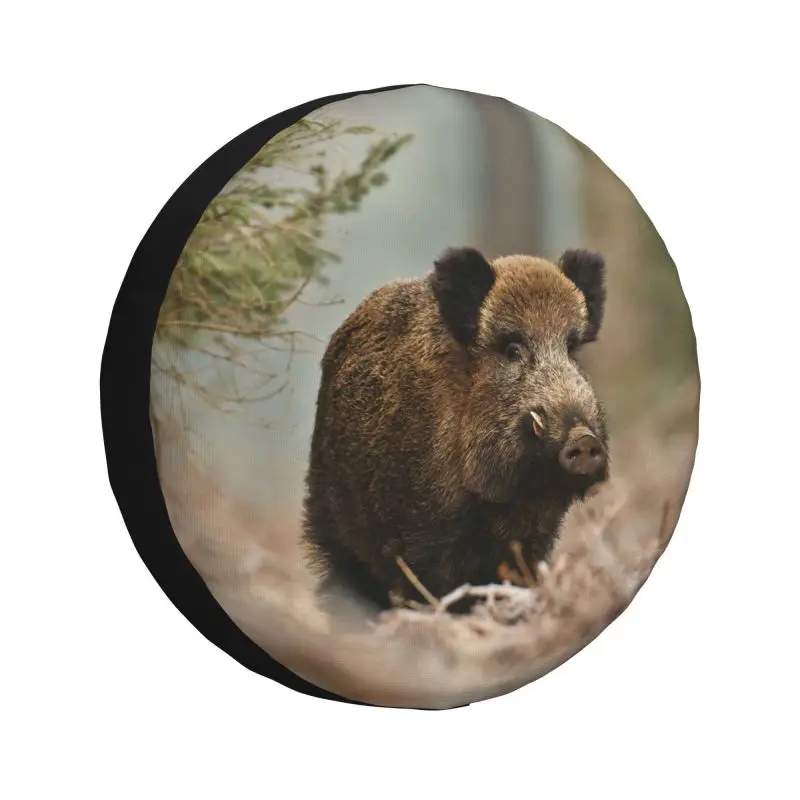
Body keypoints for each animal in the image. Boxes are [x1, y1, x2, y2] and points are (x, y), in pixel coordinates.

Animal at [301, 246, 609, 616]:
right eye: (512, 350)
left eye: (572, 349)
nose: (583, 439)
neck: (504, 499)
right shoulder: (422, 531)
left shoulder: (536, 534)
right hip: (330, 518)